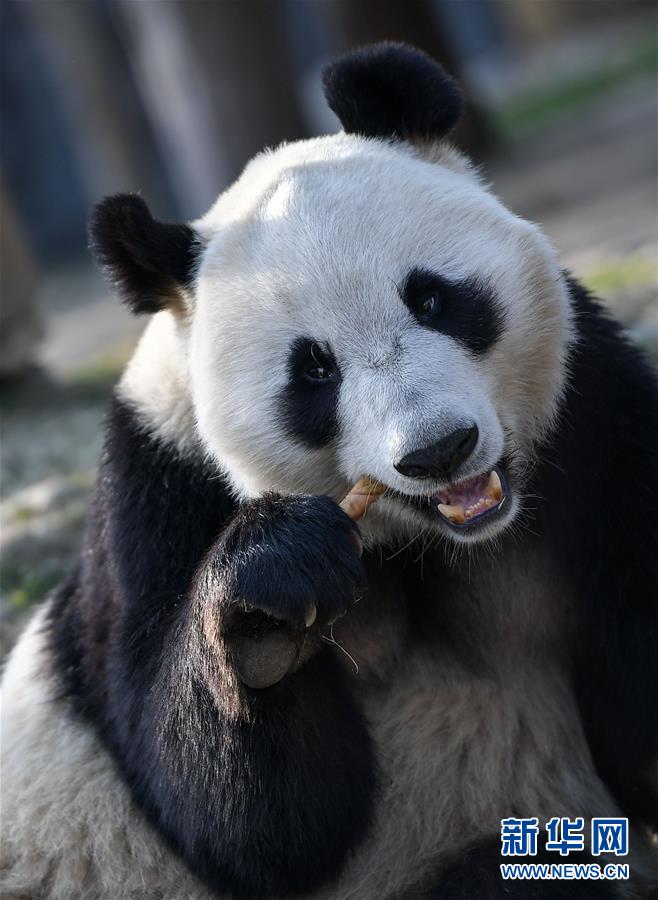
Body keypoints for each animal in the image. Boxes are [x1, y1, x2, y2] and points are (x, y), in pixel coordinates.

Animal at [1, 42, 656, 900]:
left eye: (433, 299)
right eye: (313, 369)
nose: (438, 450)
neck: (433, 547)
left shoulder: (596, 426)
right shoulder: (155, 502)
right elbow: (247, 828)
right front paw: (268, 599)